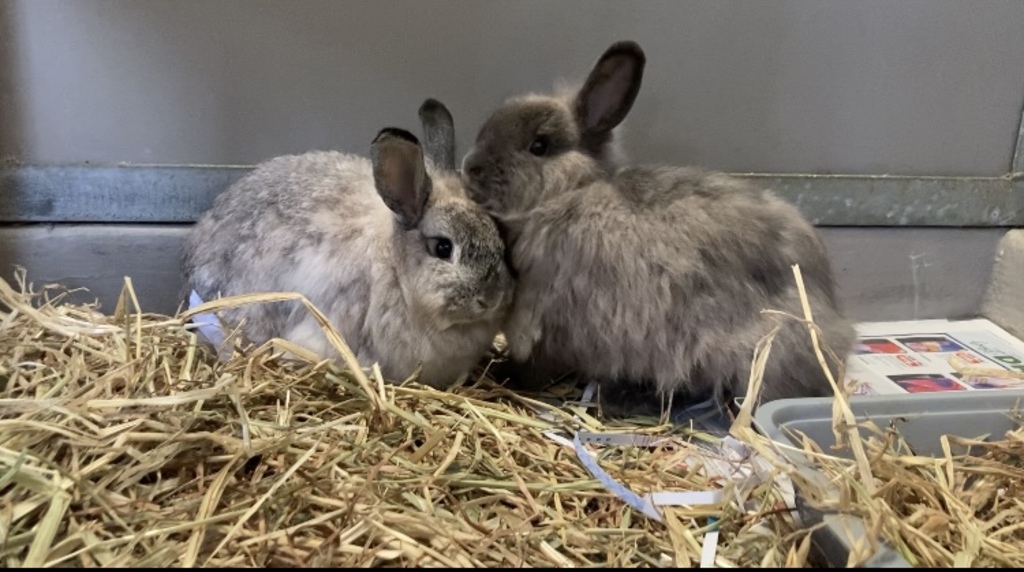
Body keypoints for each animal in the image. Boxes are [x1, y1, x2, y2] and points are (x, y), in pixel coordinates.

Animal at [460, 41, 857, 419]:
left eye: (539, 146)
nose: (470, 167)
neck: (571, 192)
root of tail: (834, 329)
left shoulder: (548, 322)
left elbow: (536, 364)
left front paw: (504, 373)